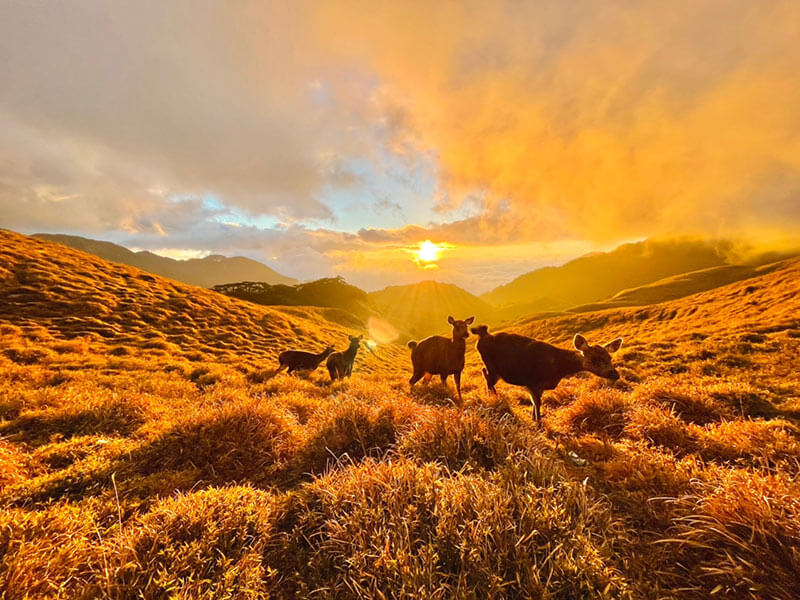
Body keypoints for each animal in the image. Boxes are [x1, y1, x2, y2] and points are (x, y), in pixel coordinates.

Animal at [468, 328, 624, 426]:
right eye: (594, 359)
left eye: (609, 357)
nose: (615, 374)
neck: (557, 369)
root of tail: (482, 336)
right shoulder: (531, 381)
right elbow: (537, 402)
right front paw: (539, 423)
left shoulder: (540, 386)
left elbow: (534, 402)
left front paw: (534, 417)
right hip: (492, 366)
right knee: (486, 375)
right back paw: (492, 396)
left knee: (485, 373)